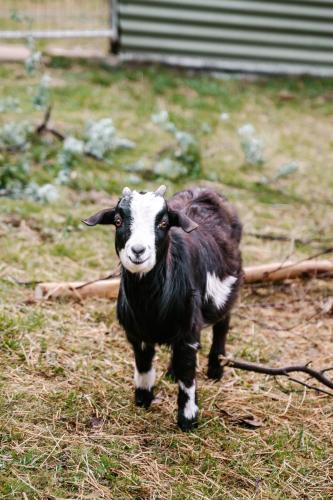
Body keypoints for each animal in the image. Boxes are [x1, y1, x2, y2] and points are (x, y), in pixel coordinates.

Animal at [83, 186, 241, 432]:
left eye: (164, 223)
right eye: (118, 221)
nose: (138, 251)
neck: (150, 304)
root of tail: (206, 190)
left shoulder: (188, 332)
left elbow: (187, 373)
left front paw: (188, 419)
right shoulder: (137, 332)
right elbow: (144, 364)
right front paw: (143, 399)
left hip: (227, 292)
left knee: (222, 324)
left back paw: (215, 368)